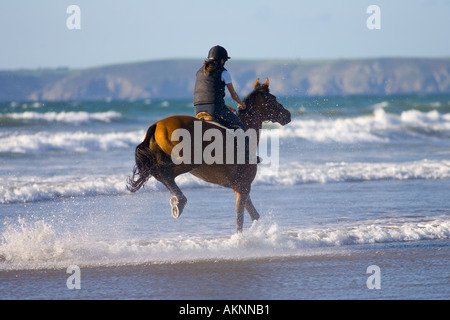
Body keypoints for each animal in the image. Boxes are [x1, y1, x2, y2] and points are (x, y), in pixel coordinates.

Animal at [125, 78, 292, 232]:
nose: (288, 115)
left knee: (160, 174)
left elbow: (254, 215)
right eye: (273, 99)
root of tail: (157, 125)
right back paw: (180, 201)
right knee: (165, 174)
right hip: (188, 162)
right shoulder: (243, 187)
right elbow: (240, 218)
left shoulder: (240, 186)